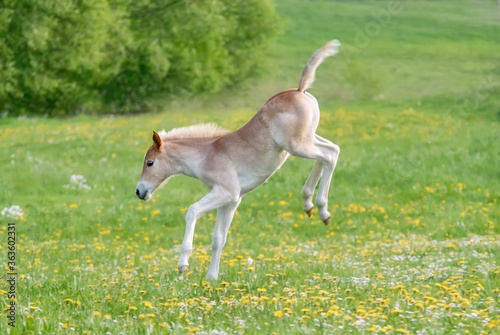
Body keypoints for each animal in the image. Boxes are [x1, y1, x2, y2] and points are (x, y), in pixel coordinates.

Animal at [135, 39, 342, 280]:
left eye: (150, 163)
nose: (139, 191)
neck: (207, 154)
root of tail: (300, 89)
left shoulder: (226, 192)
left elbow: (192, 211)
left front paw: (183, 264)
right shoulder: (231, 200)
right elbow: (218, 239)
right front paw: (211, 278)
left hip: (298, 145)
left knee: (329, 155)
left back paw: (322, 209)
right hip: (306, 140)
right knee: (330, 151)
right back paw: (309, 204)